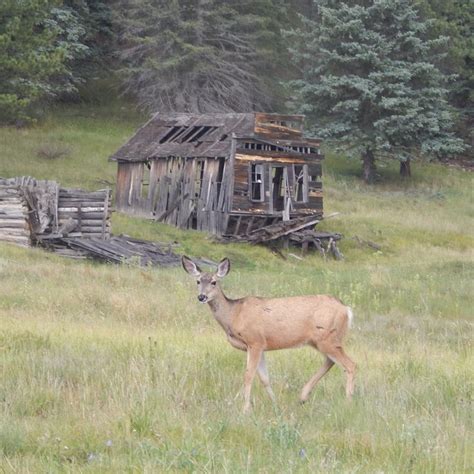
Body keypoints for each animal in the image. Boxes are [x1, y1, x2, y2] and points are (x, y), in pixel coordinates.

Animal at [181, 254, 356, 412]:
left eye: (214, 282)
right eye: (198, 281)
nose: (201, 296)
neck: (234, 314)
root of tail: (346, 309)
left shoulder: (255, 341)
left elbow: (248, 375)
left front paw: (245, 409)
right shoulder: (260, 346)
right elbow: (264, 378)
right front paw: (275, 403)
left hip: (328, 338)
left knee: (350, 364)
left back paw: (348, 402)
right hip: (321, 340)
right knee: (330, 361)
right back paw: (303, 397)